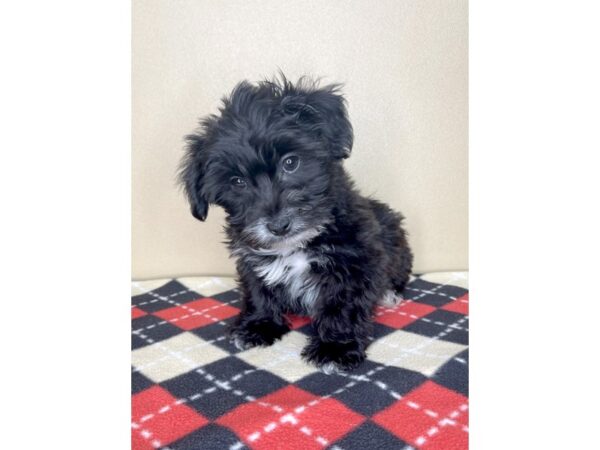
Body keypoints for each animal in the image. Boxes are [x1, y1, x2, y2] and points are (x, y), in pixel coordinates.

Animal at [178, 75, 412, 372]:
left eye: (290, 163)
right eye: (237, 182)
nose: (278, 226)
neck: (299, 244)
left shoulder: (355, 261)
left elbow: (342, 305)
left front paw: (335, 348)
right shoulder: (251, 260)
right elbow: (258, 292)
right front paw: (258, 326)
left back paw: (389, 294)